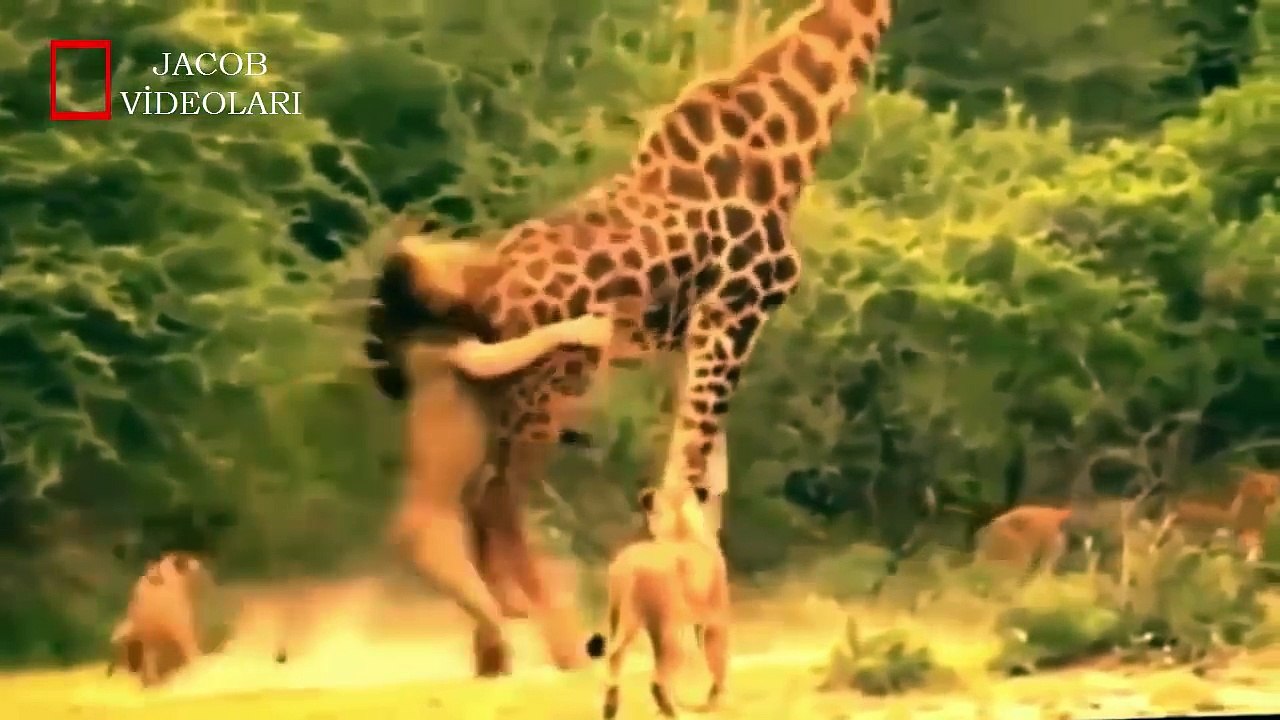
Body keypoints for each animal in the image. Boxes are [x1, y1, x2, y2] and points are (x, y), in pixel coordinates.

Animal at [585, 483, 729, 719]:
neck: (680, 528)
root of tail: (632, 569)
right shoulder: (715, 619)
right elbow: (718, 657)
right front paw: (717, 701)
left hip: (621, 620)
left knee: (615, 658)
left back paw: (610, 709)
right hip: (670, 631)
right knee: (658, 680)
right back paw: (672, 712)